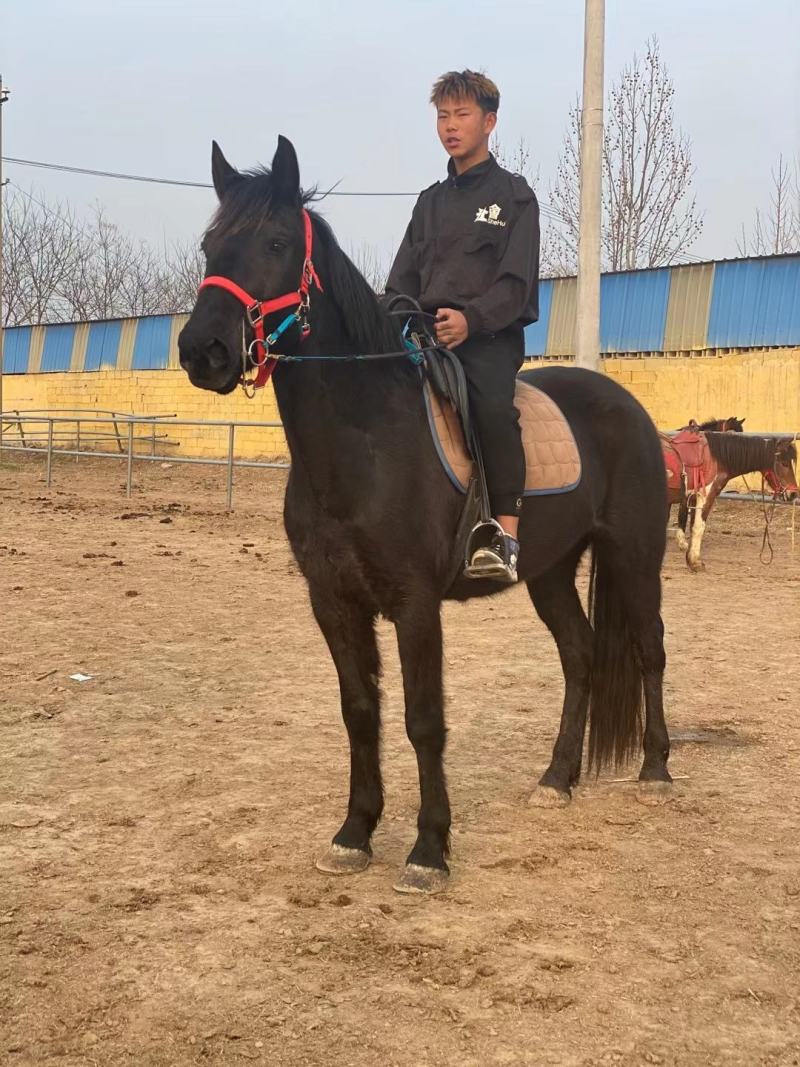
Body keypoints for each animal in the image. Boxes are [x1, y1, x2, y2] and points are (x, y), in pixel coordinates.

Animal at [177, 136, 672, 894]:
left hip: (635, 555)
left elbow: (423, 720)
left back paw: (655, 771)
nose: (202, 351)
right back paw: (557, 778)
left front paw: (429, 849)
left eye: (276, 242)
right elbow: (360, 712)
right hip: (552, 571)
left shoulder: (415, 604)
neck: (366, 441)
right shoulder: (334, 600)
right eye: (210, 245)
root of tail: (628, 406)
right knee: (581, 654)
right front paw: (354, 832)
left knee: (649, 647)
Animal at [665, 431, 798, 571]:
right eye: (784, 463)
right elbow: (698, 527)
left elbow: (691, 524)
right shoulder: (706, 496)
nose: (793, 494)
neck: (716, 459)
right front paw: (695, 562)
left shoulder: (692, 498)